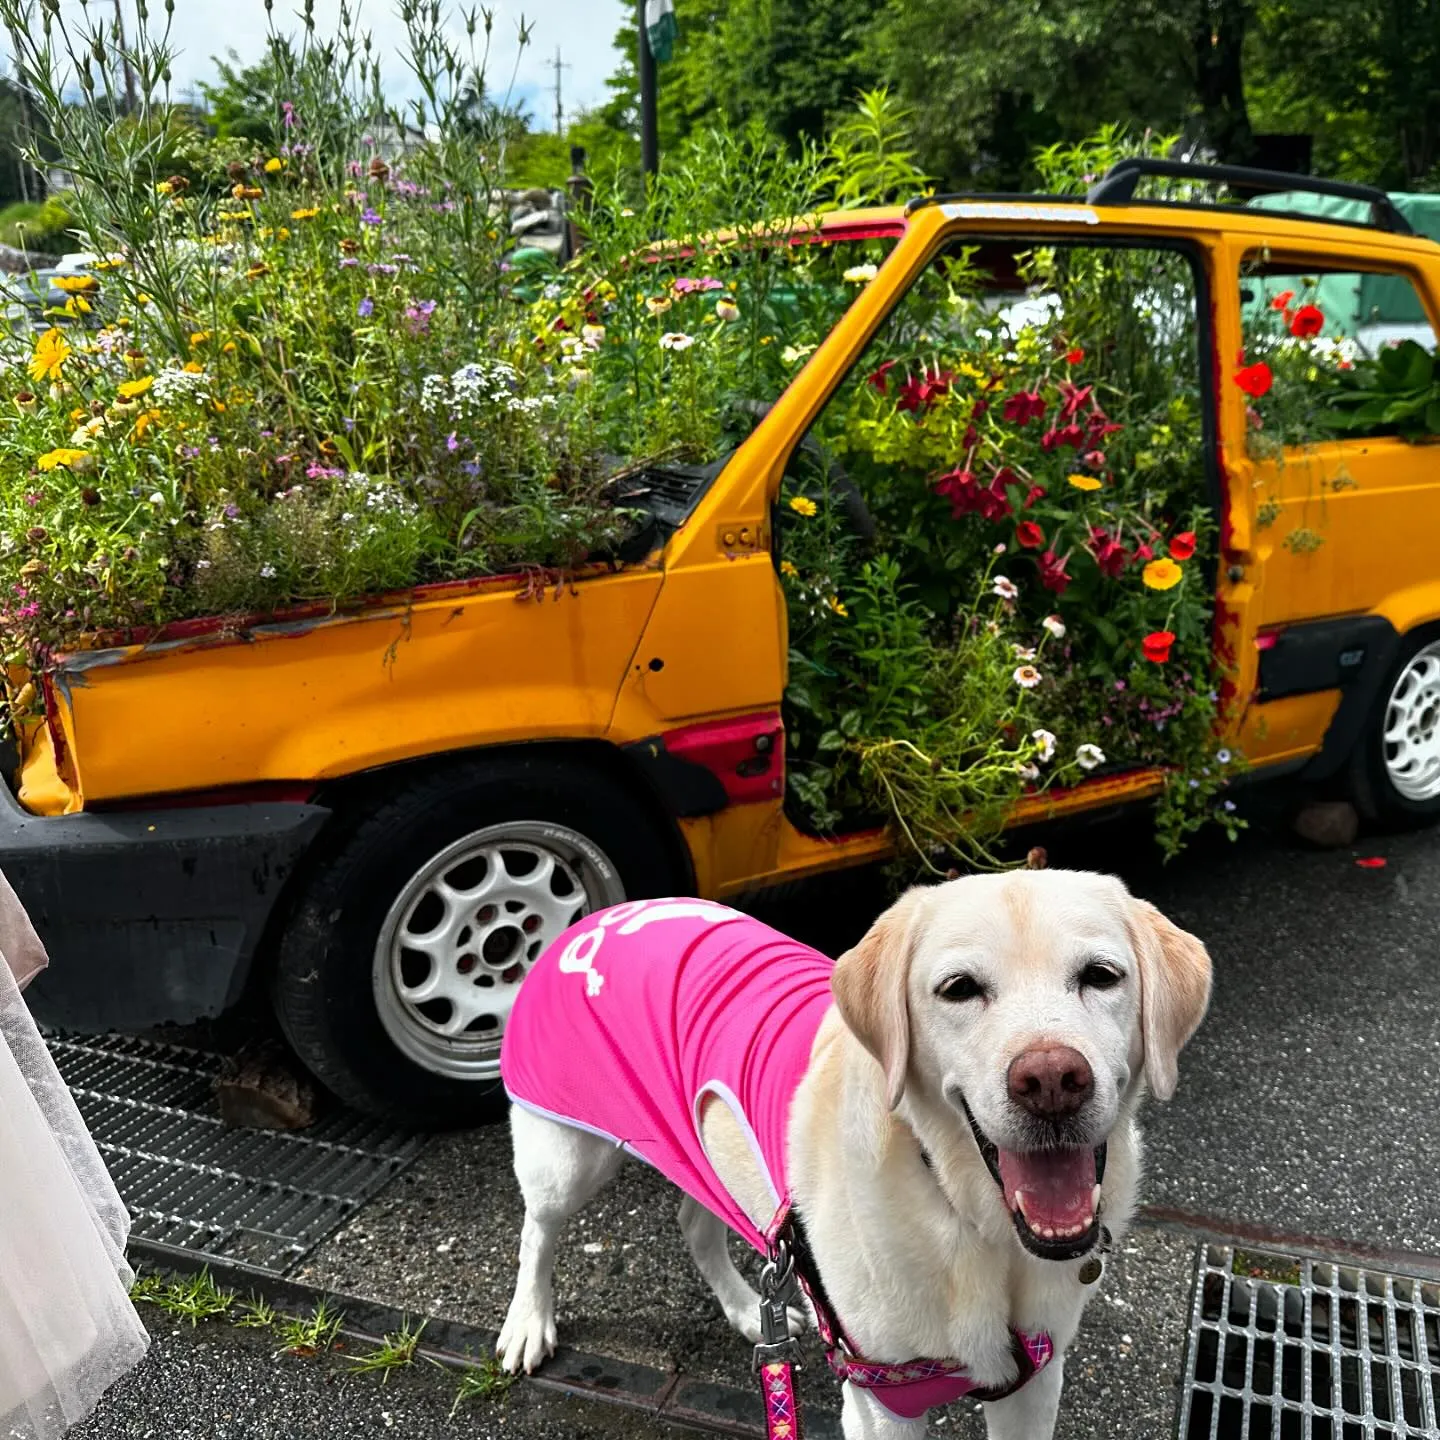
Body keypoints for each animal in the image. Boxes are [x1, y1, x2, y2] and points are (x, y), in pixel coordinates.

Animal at [501, 864, 1209, 1440]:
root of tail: (600, 916)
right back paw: (527, 1325)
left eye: (1101, 976)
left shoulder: (1034, 1383)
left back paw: (748, 1311)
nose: (1052, 1081)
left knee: (696, 1226)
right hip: (568, 1158)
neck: (972, 1224)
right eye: (958, 988)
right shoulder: (882, 1400)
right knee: (537, 1230)